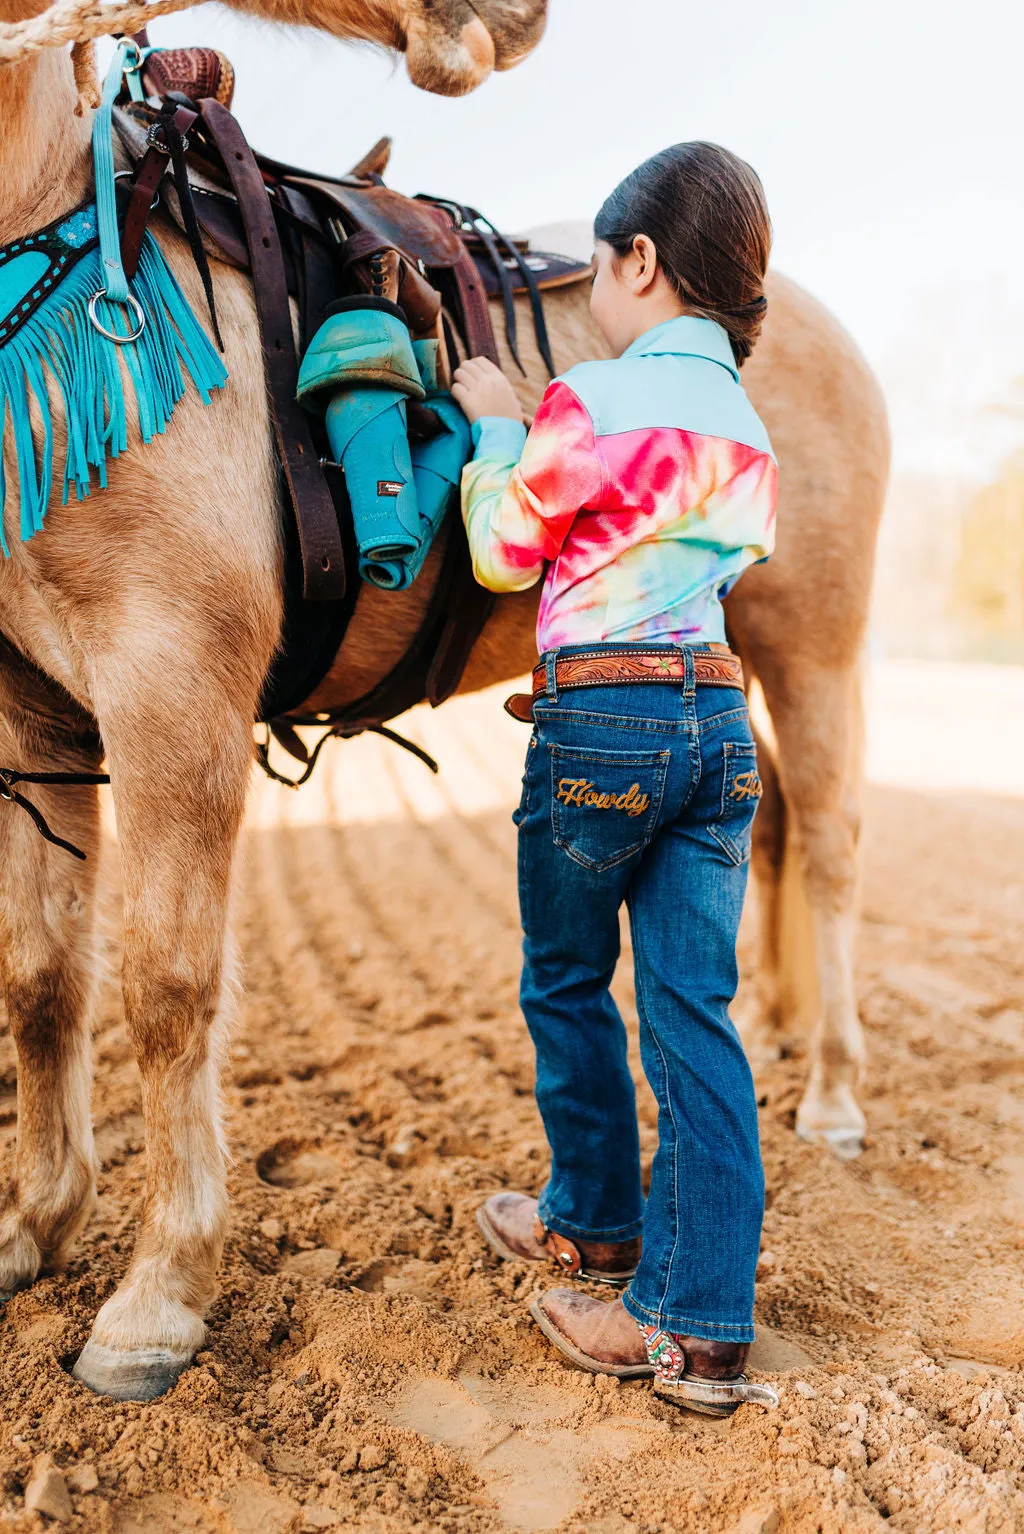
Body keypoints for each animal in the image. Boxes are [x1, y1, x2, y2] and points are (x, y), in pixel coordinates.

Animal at [0, 0, 882, 1399]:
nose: (512, 23)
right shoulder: (33, 712)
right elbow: (41, 978)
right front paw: (35, 1224)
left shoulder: (172, 692)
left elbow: (166, 983)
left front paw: (158, 1297)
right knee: (778, 841)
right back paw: (781, 1035)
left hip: (817, 649)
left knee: (838, 849)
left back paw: (835, 1096)